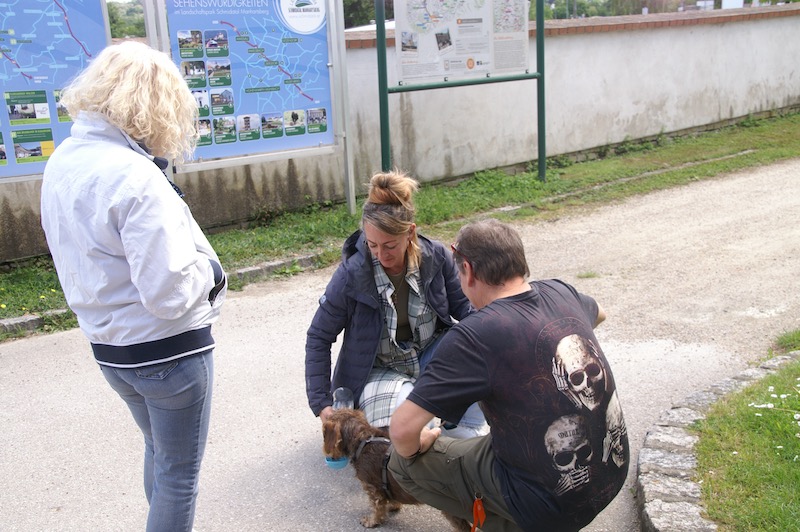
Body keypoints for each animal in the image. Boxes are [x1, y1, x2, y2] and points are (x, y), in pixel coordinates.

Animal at [322, 408, 471, 530]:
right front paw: (393, 506)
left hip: (453, 508)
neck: (363, 440)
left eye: (324, 432)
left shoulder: (373, 490)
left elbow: (377, 509)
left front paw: (371, 521)